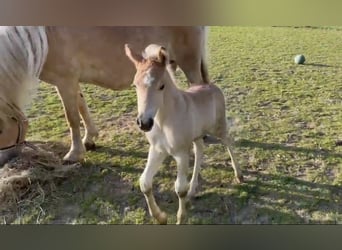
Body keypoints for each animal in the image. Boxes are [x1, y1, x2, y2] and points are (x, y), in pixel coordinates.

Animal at [0, 26, 210, 164]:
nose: (3, 161)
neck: (42, 37)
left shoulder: (64, 81)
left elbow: (72, 118)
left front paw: (74, 153)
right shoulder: (72, 81)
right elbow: (81, 107)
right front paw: (90, 139)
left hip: (189, 62)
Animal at [125, 43, 243, 225]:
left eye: (161, 86)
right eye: (135, 85)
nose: (144, 123)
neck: (164, 121)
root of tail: (210, 85)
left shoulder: (181, 153)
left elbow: (179, 188)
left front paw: (180, 218)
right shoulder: (157, 150)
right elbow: (144, 182)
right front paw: (160, 217)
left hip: (218, 127)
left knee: (228, 142)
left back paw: (239, 175)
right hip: (197, 135)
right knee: (200, 150)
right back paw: (193, 189)